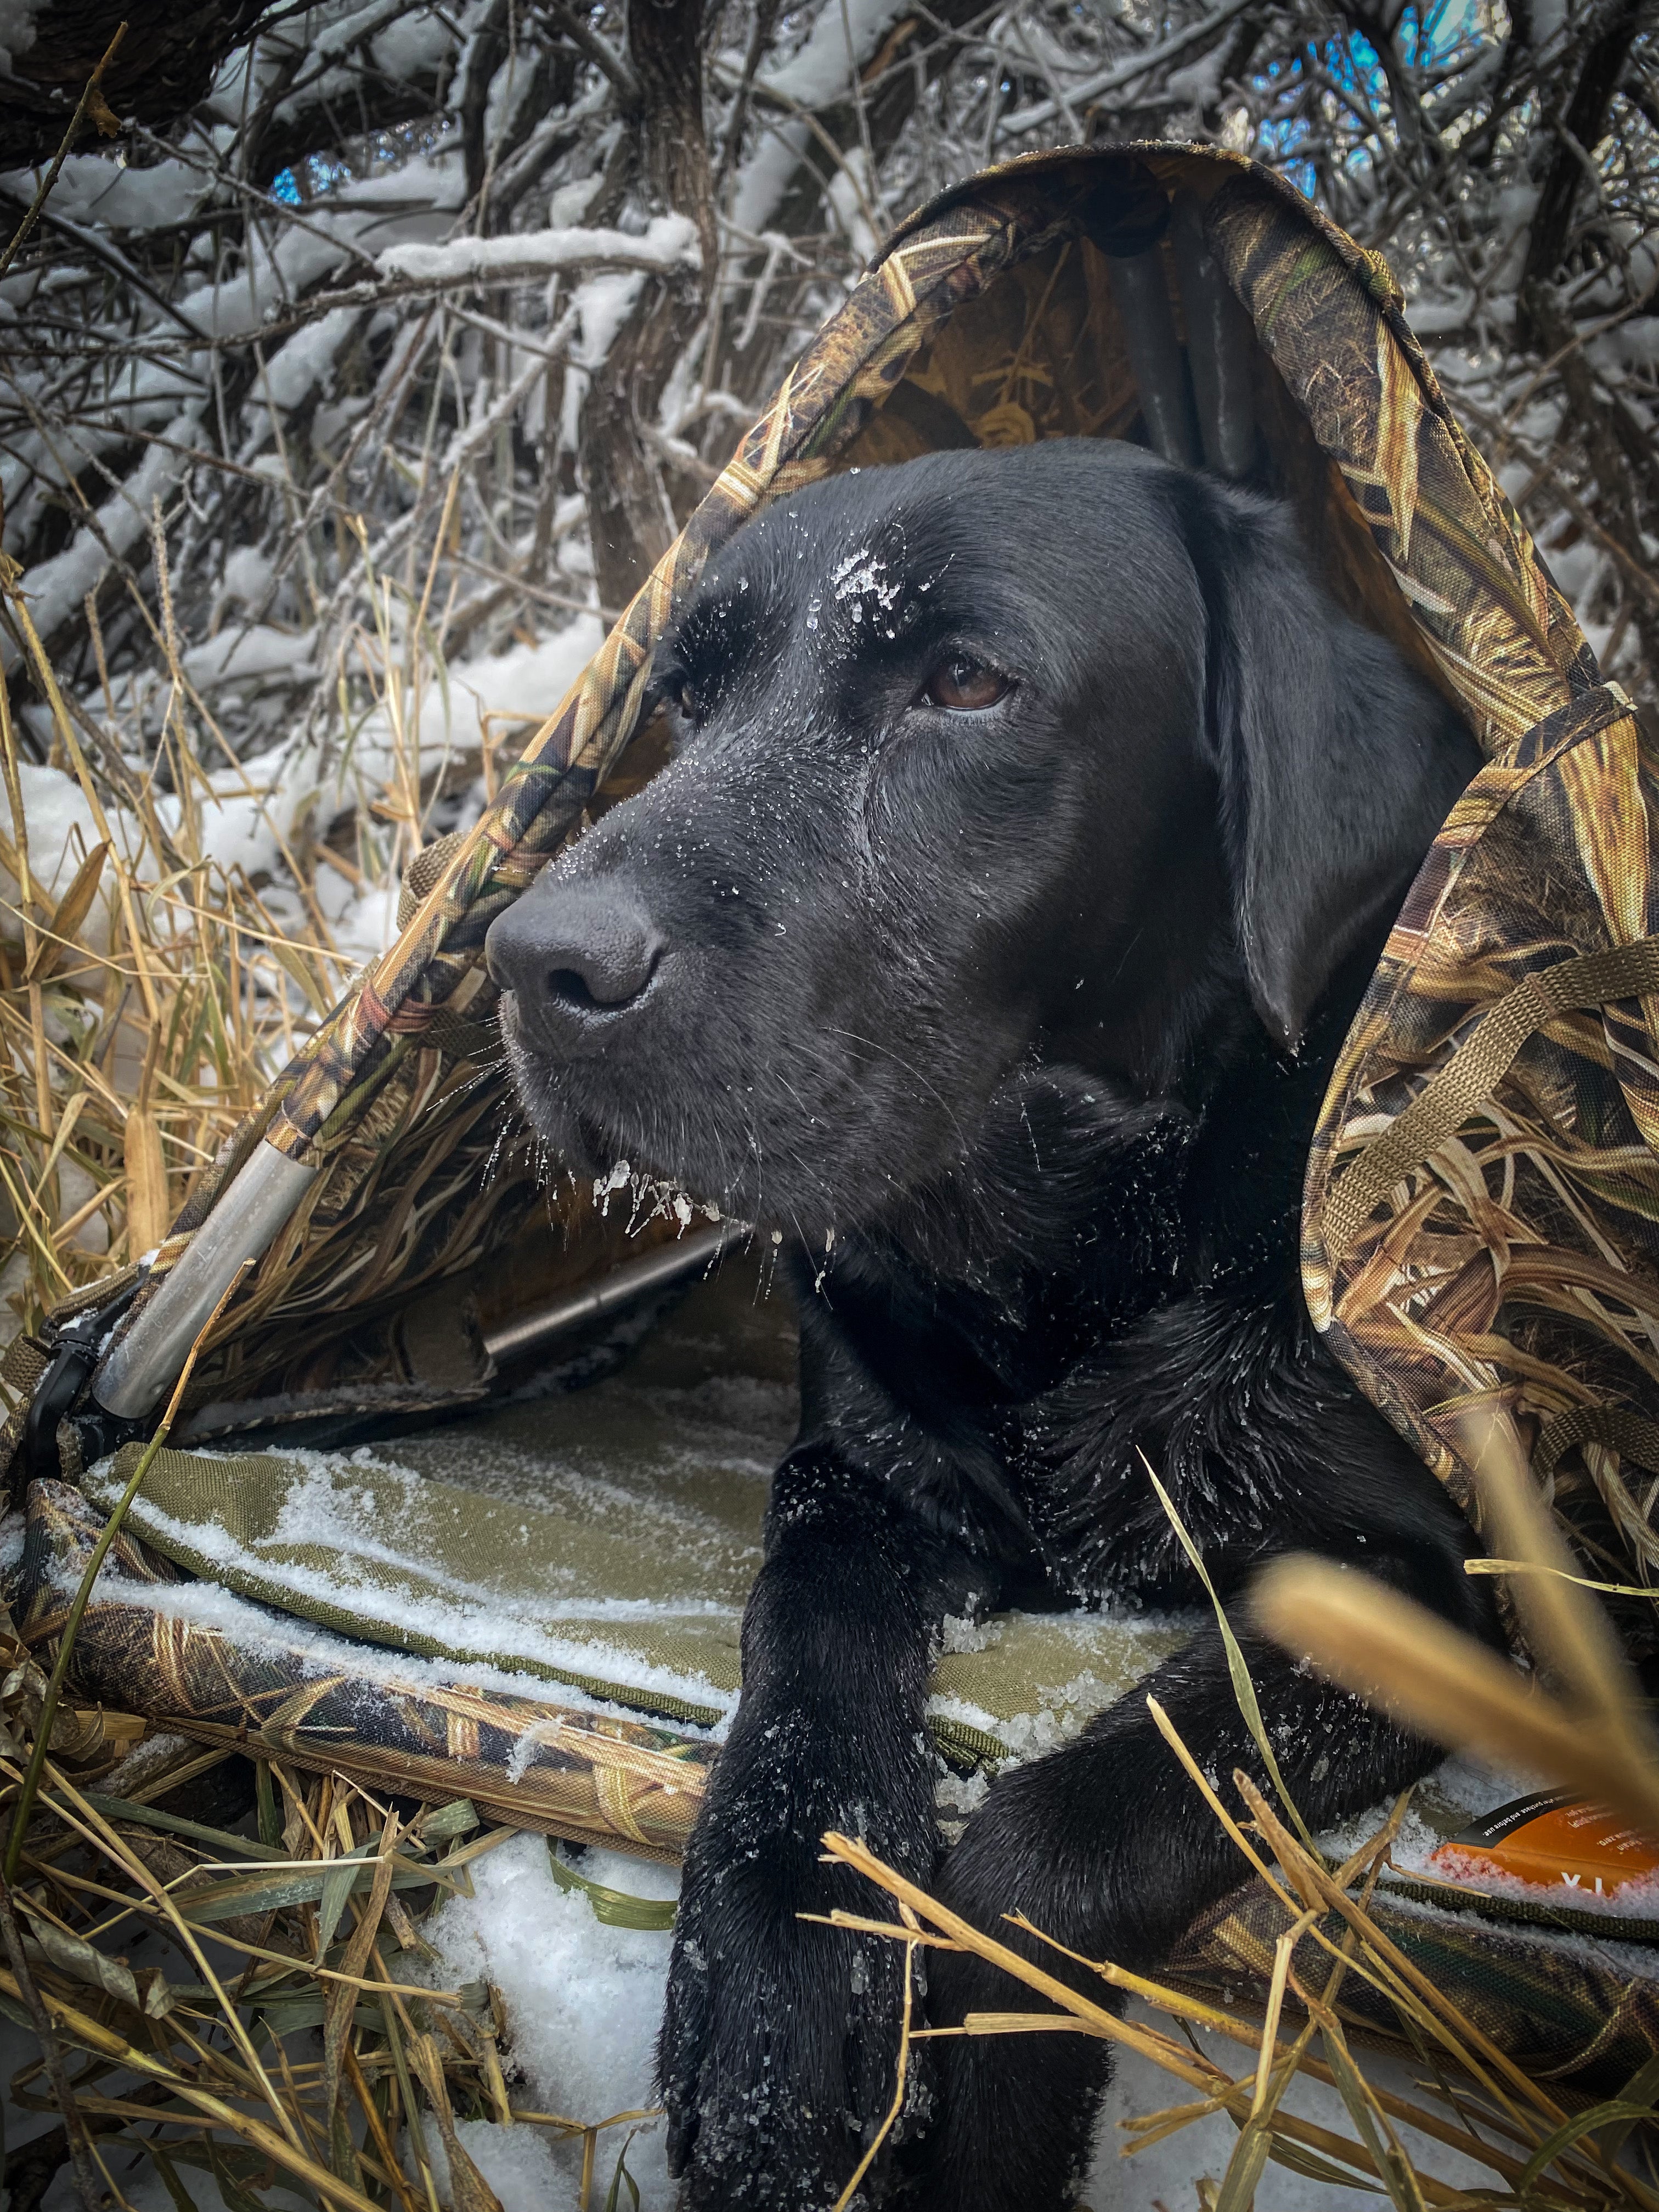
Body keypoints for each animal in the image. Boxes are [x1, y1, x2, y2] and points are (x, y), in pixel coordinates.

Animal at [487, 436, 1504, 2212]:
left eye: (965, 683)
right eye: (685, 701)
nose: (531, 965)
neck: (1059, 1263)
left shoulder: (1431, 1586)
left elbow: (1067, 1829)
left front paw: (991, 2118)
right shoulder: (861, 1467)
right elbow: (805, 1618)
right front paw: (781, 1975)